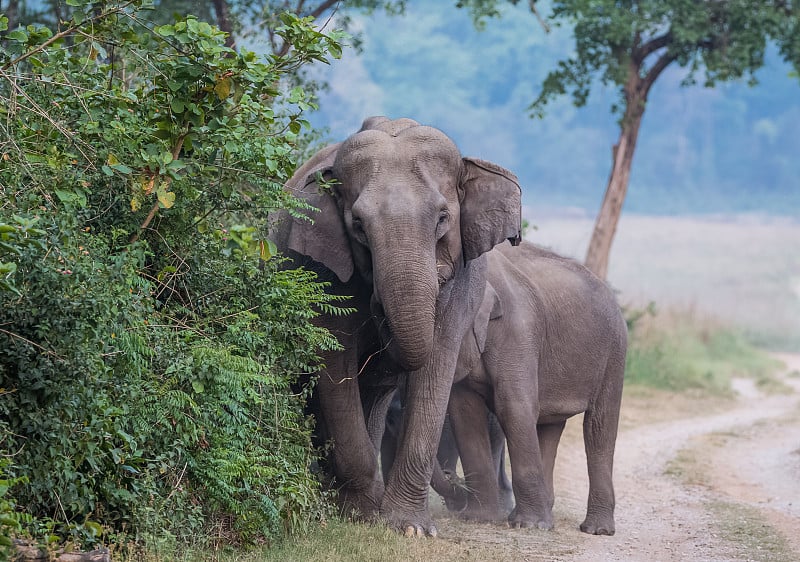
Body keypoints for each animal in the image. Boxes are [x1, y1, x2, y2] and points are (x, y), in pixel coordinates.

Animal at [272, 115, 520, 532]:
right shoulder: (322, 269)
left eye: (442, 219)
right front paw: (364, 511)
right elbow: (335, 364)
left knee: (374, 394)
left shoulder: (461, 284)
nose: (379, 310)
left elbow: (435, 368)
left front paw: (409, 527)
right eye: (357, 224)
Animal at [446, 238, 628, 532]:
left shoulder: (518, 329)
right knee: (549, 425)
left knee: (599, 426)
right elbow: (465, 412)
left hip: (615, 350)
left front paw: (529, 526)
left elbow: (514, 408)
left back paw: (595, 530)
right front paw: (478, 519)